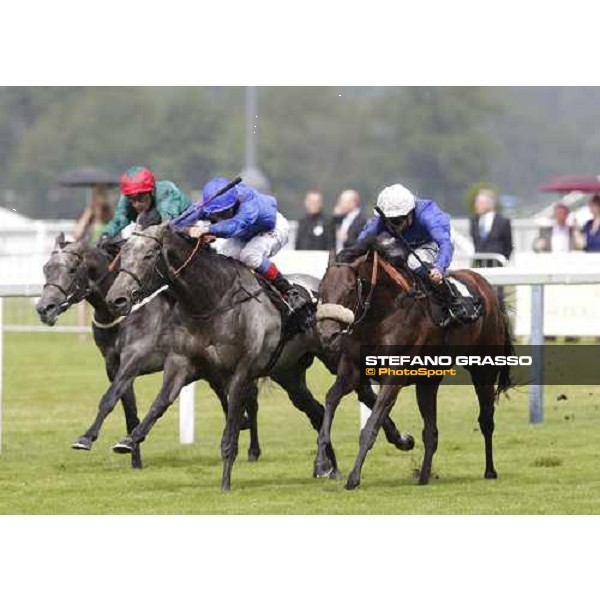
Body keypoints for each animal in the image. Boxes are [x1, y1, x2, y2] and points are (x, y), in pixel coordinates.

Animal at [104, 225, 412, 492]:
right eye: (123, 256)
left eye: (148, 255)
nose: (116, 299)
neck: (212, 301)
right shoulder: (181, 363)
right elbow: (160, 403)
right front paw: (129, 440)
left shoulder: (240, 373)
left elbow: (231, 429)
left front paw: (225, 482)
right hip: (289, 373)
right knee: (316, 409)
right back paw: (329, 466)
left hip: (336, 357)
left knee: (364, 393)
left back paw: (400, 439)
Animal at [312, 241, 512, 490]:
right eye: (321, 289)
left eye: (350, 289)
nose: (327, 335)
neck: (382, 314)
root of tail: (486, 288)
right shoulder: (351, 370)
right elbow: (330, 400)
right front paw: (321, 463)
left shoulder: (393, 376)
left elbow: (370, 426)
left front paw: (353, 477)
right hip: (428, 380)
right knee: (431, 432)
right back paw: (424, 477)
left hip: (484, 369)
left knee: (486, 420)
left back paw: (490, 471)